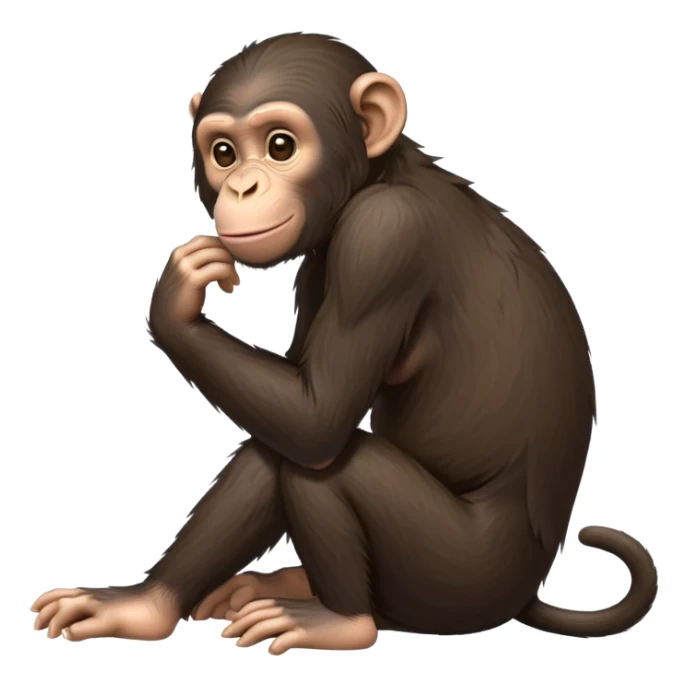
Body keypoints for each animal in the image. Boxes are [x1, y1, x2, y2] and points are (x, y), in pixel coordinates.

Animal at [32, 33, 656, 654]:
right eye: (224, 152)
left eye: (280, 146)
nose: (242, 185)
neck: (380, 176)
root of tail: (525, 594)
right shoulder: (320, 263)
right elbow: (292, 394)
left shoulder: (382, 238)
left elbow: (317, 419)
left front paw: (176, 303)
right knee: (273, 447)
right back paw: (159, 606)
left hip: (456, 576)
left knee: (325, 464)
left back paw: (339, 621)